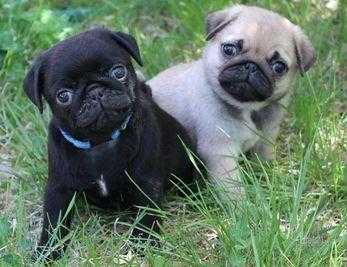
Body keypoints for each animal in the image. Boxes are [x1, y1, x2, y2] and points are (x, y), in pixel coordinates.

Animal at [24, 27, 196, 262]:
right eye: (63, 96)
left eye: (118, 72)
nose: (95, 91)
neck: (100, 142)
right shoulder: (58, 189)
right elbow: (53, 223)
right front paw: (47, 253)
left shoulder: (146, 182)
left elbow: (146, 216)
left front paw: (142, 245)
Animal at [148, 5, 316, 196]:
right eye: (229, 50)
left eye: (279, 67)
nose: (251, 66)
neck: (248, 107)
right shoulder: (221, 152)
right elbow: (231, 186)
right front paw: (241, 204)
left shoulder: (267, 136)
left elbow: (263, 157)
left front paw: (267, 175)